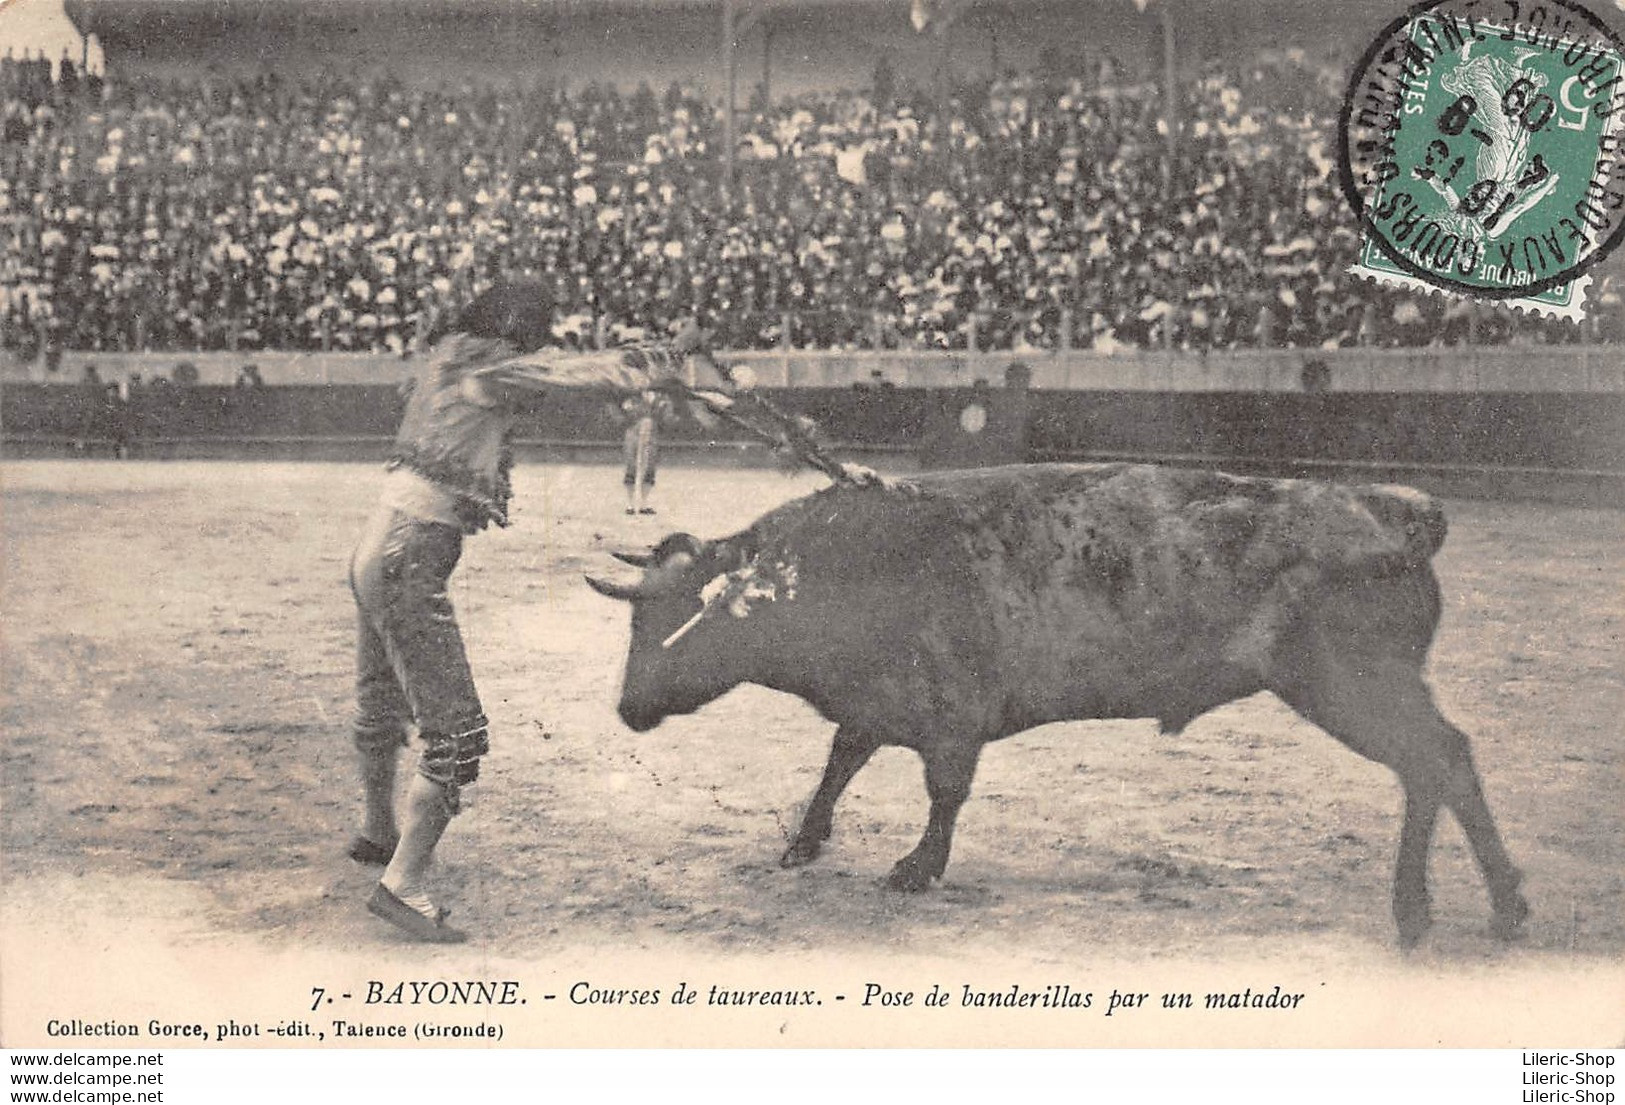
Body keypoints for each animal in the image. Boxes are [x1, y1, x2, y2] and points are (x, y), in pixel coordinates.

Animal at [591, 461, 1527, 942]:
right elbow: (840, 762)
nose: (627, 708)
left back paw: (1424, 909)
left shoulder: (953, 716)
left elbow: (942, 791)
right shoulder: (878, 702)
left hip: (1347, 684)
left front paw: (915, 868)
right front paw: (803, 842)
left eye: (674, 617)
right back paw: (1496, 906)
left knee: (1432, 759)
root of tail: (1396, 510)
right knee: (1446, 759)